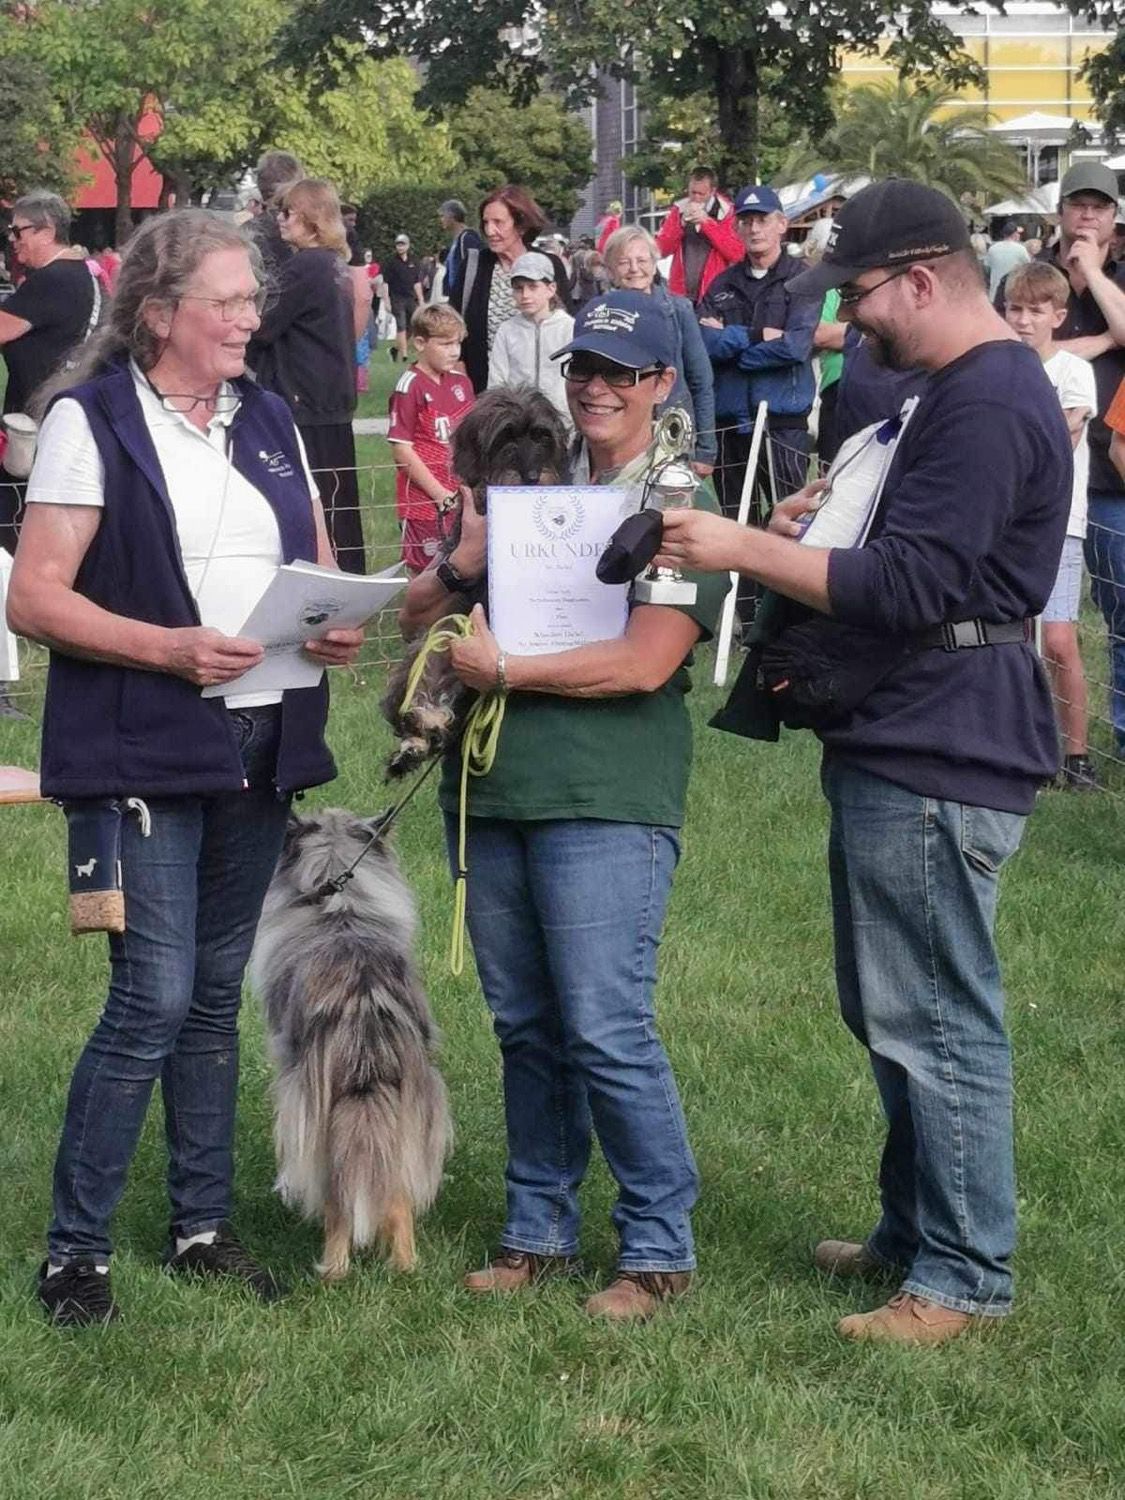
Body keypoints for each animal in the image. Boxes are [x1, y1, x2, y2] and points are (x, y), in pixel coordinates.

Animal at [252, 810, 453, 1278]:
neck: (338, 906)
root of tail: (365, 1006)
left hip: (318, 1113)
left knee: (338, 1201)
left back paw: (333, 1270)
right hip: (411, 1110)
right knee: (397, 1195)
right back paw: (403, 1266)